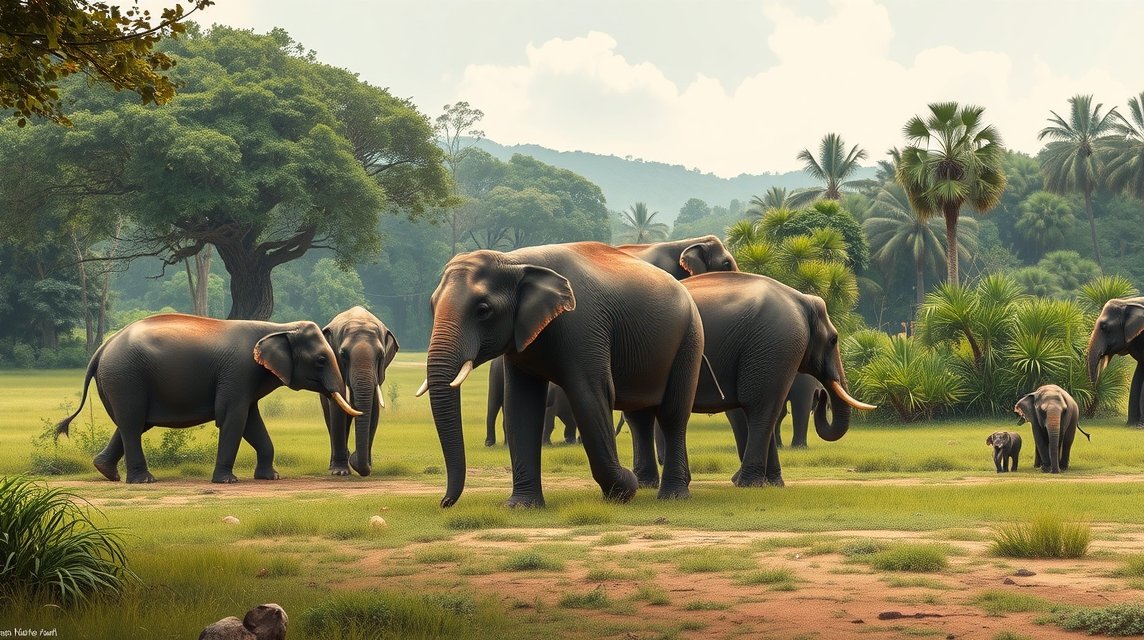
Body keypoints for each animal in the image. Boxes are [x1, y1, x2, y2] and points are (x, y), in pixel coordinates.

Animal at [54, 313, 359, 484]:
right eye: (321, 360)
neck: (279, 326)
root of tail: (101, 348)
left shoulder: (244, 379)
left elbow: (251, 420)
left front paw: (270, 477)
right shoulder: (238, 371)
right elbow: (232, 418)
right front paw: (227, 481)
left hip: (121, 380)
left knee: (133, 423)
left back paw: (106, 471)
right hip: (126, 378)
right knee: (132, 424)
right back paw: (144, 481)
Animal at [320, 306, 399, 477]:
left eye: (381, 355)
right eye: (343, 355)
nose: (353, 456)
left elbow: (374, 411)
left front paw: (366, 466)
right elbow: (338, 409)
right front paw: (340, 472)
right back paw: (334, 465)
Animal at [417, 241, 706, 508]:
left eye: (483, 310)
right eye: (431, 306)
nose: (444, 502)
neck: (514, 261)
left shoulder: (584, 326)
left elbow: (590, 395)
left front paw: (625, 488)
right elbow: (521, 404)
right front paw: (521, 506)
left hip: (690, 338)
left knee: (672, 415)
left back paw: (672, 495)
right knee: (640, 416)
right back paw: (651, 484)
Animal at [627, 271, 874, 488]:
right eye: (834, 340)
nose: (821, 394)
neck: (801, 301)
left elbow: (760, 407)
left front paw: (771, 483)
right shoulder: (776, 343)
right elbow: (762, 406)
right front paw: (750, 483)